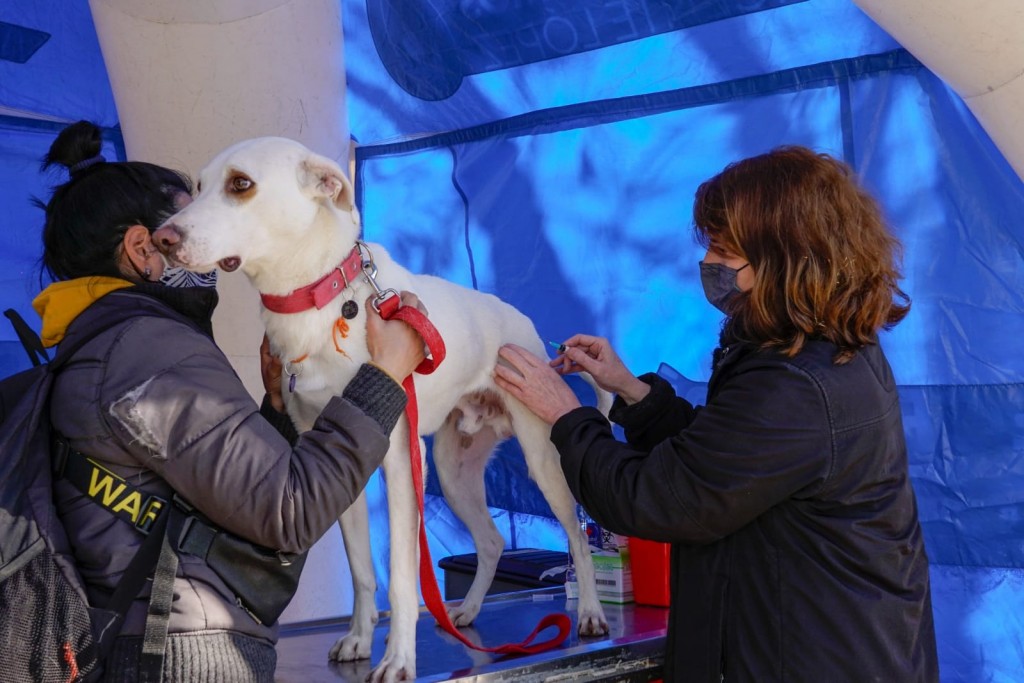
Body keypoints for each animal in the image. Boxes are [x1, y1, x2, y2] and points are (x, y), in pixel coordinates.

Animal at [154, 137, 610, 682]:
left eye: (240, 184)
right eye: (199, 185)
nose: (161, 238)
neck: (320, 301)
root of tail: (529, 330)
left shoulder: (398, 462)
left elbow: (401, 576)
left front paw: (398, 658)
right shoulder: (337, 458)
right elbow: (362, 571)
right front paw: (358, 638)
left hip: (539, 458)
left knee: (576, 534)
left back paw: (590, 613)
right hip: (453, 472)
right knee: (492, 541)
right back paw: (467, 612)